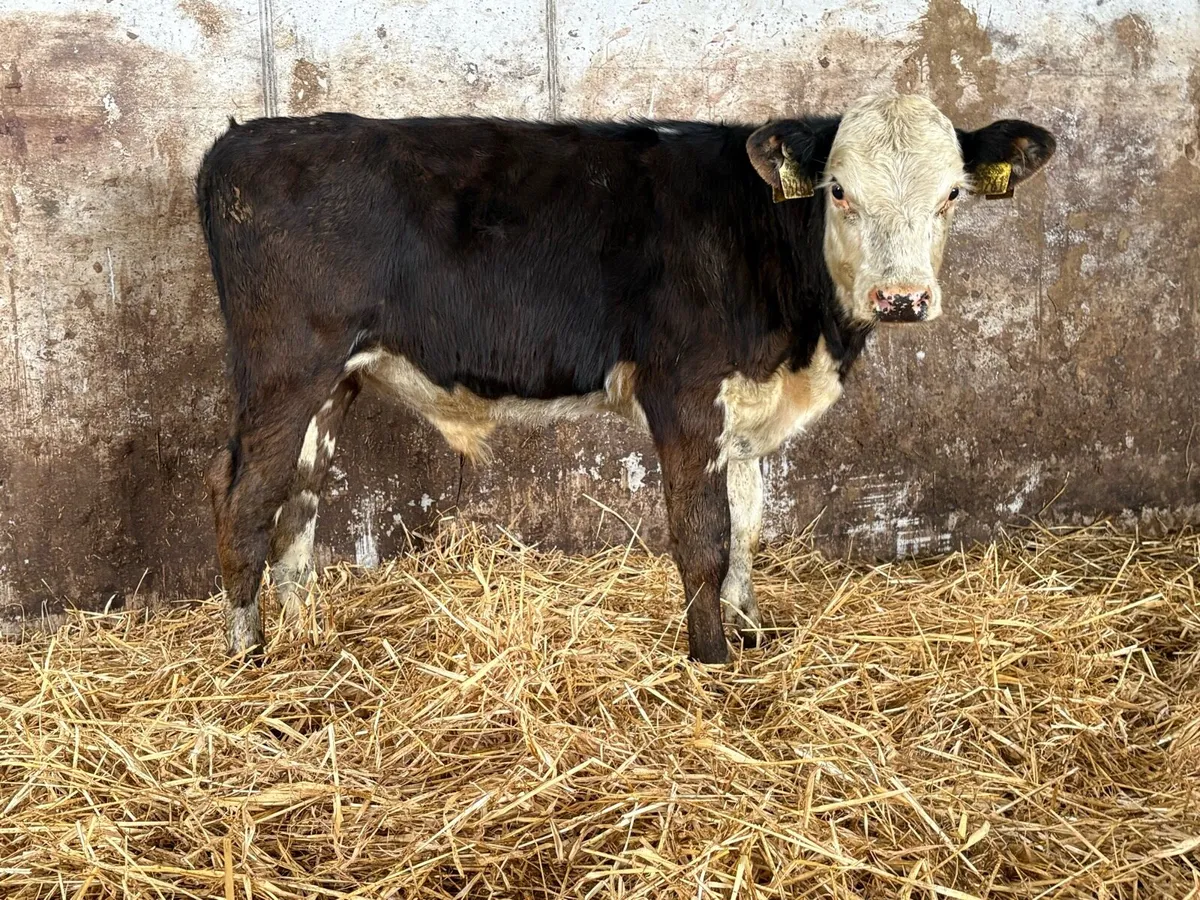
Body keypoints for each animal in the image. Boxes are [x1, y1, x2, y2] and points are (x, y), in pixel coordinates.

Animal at [196, 93, 1055, 664]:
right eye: (839, 190)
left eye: (952, 194)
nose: (902, 298)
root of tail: (246, 139)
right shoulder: (684, 396)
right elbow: (702, 540)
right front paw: (712, 659)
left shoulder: (744, 411)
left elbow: (749, 526)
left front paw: (752, 630)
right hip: (286, 367)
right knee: (241, 498)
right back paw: (250, 658)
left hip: (336, 380)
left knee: (299, 501)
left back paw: (307, 635)